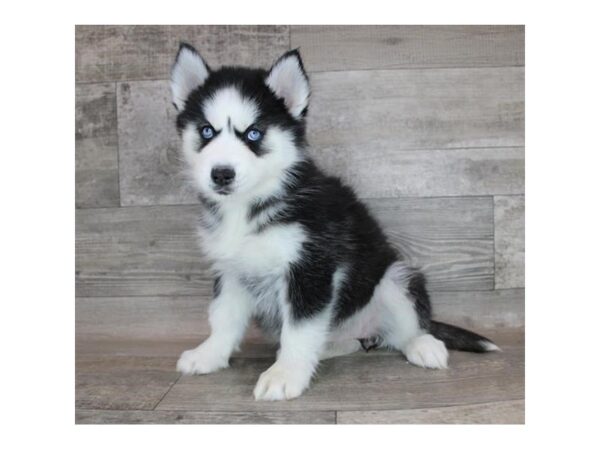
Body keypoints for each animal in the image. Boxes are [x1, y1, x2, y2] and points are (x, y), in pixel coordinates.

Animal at [169, 42, 496, 400]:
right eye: (206, 131)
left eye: (254, 134)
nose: (222, 174)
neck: (251, 206)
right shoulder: (231, 269)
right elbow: (224, 318)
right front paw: (209, 354)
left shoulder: (311, 268)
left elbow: (299, 330)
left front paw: (285, 374)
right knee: (346, 340)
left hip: (396, 279)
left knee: (408, 328)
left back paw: (424, 346)